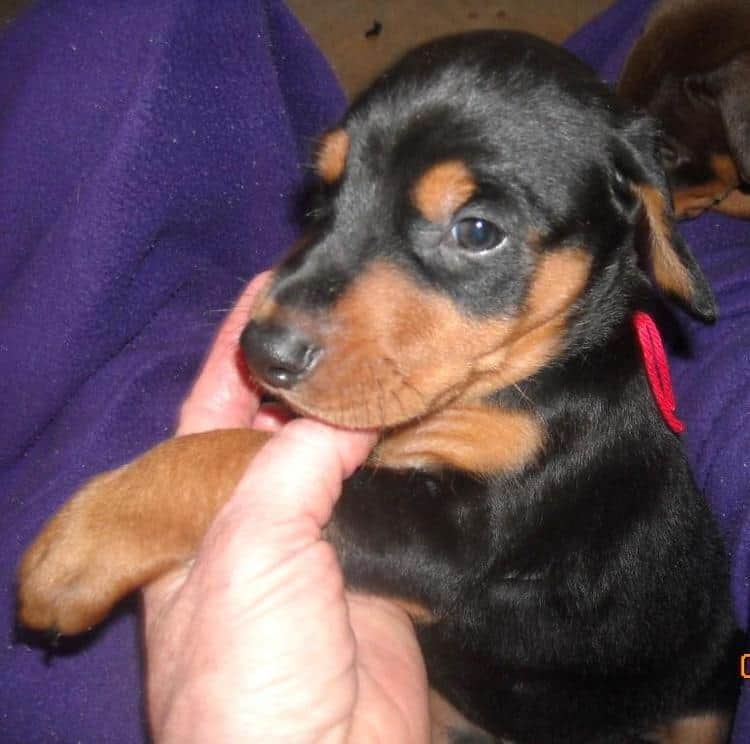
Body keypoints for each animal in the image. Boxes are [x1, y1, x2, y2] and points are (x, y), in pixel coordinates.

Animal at [17, 30, 740, 744]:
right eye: (320, 199)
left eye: (477, 231)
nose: (262, 353)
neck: (528, 376)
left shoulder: (460, 540)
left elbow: (233, 453)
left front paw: (85, 541)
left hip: (707, 689)